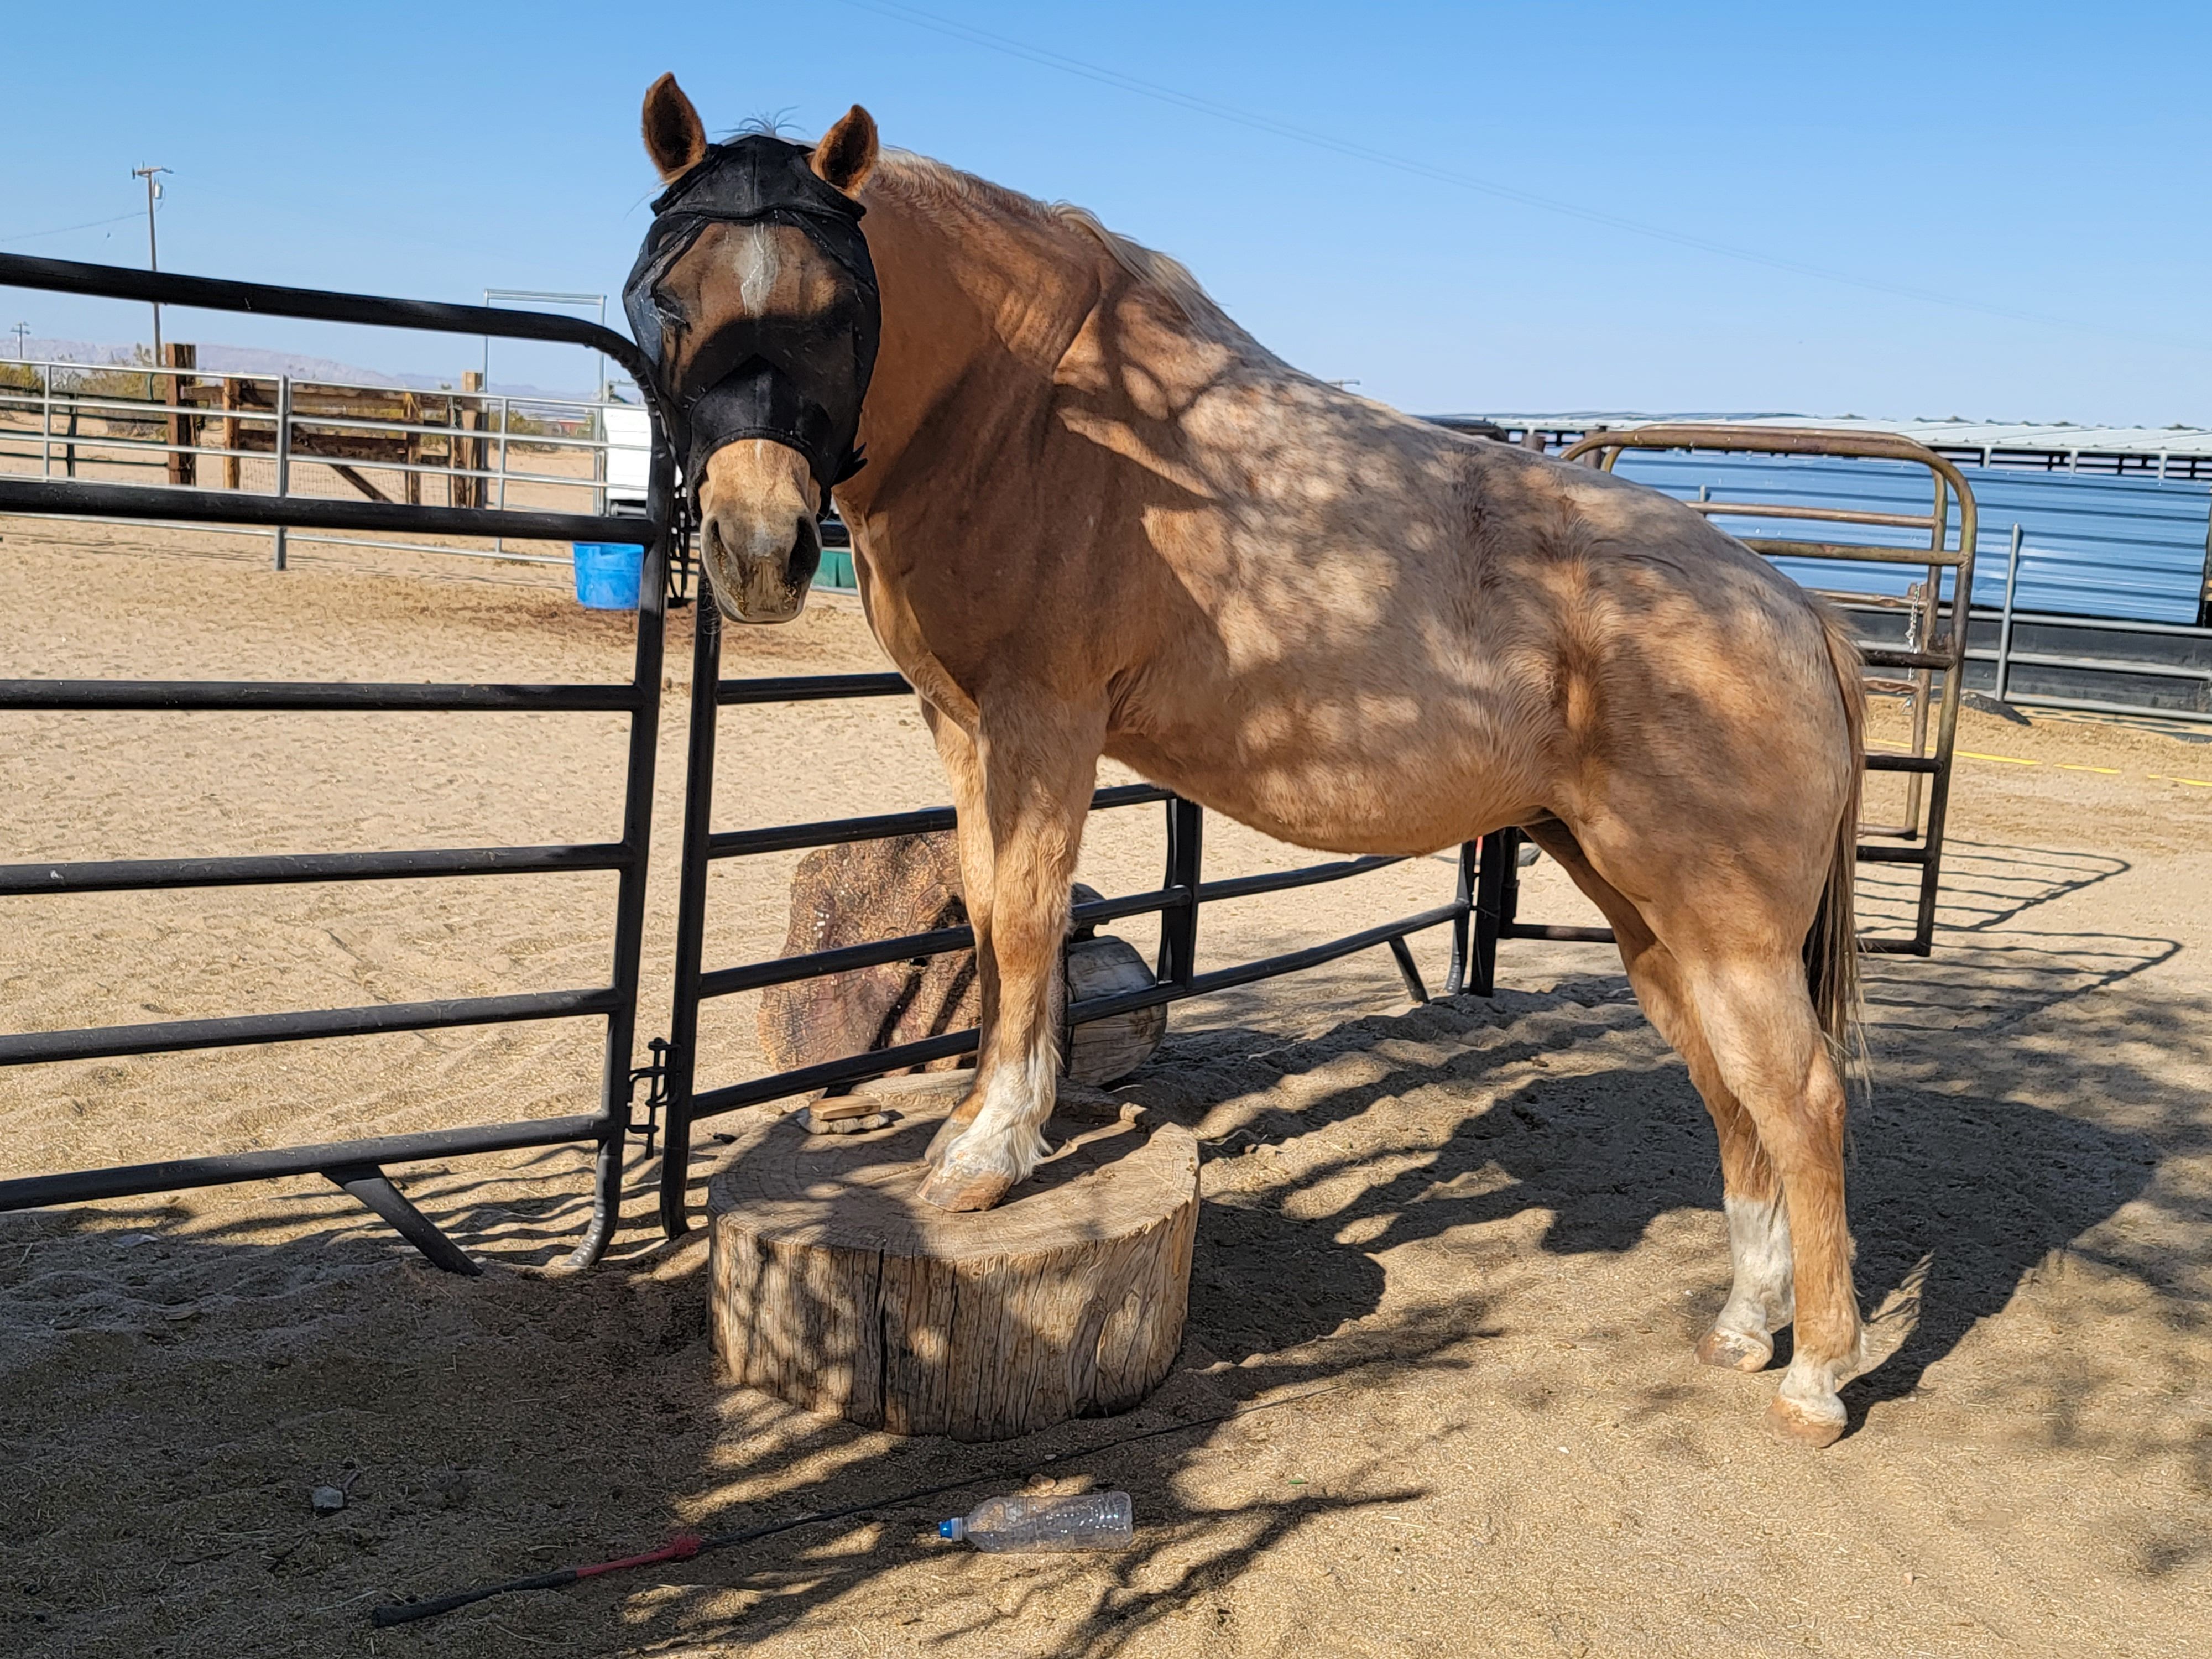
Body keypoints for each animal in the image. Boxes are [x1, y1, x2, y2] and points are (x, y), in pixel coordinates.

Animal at [629, 75, 1870, 1447]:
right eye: (668, 300)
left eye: (838, 313)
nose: (757, 549)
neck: (1036, 414)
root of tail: (1793, 609)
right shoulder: (963, 727)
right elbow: (984, 915)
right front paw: (972, 1127)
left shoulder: (1044, 721)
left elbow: (1025, 918)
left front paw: (987, 1158)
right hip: (1652, 920)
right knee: (1729, 1092)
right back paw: (1743, 1327)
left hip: (1729, 933)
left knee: (1801, 1101)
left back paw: (1816, 1375)